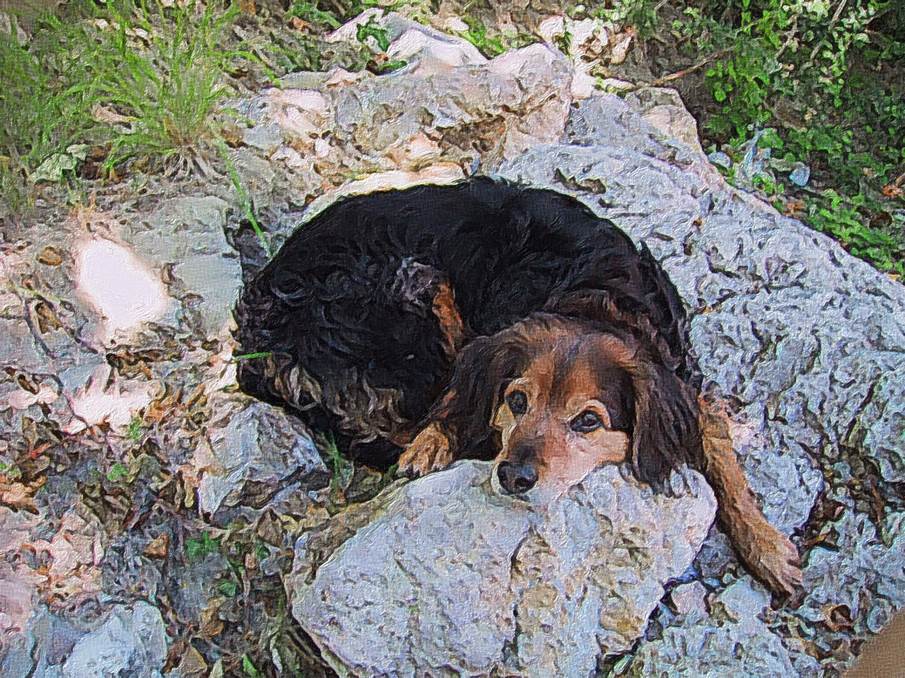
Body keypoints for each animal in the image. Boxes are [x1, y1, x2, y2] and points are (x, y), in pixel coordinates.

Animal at [237, 178, 800, 596]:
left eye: (588, 421)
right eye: (517, 400)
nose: (513, 476)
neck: (599, 297)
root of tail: (260, 335)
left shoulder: (683, 379)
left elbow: (721, 451)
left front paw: (767, 547)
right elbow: (462, 401)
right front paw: (437, 443)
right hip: (411, 282)